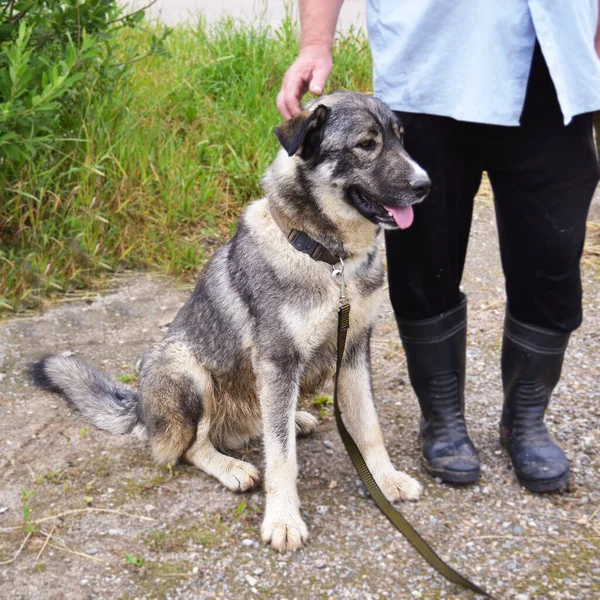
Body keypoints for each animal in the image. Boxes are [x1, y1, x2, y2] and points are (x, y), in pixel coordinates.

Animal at [30, 91, 428, 552]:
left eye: (400, 139)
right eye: (366, 144)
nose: (425, 185)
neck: (326, 258)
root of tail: (139, 408)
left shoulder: (354, 350)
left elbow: (367, 427)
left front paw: (385, 480)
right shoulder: (278, 361)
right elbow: (282, 458)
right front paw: (283, 519)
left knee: (261, 425)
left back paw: (295, 419)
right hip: (185, 370)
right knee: (190, 448)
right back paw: (231, 467)